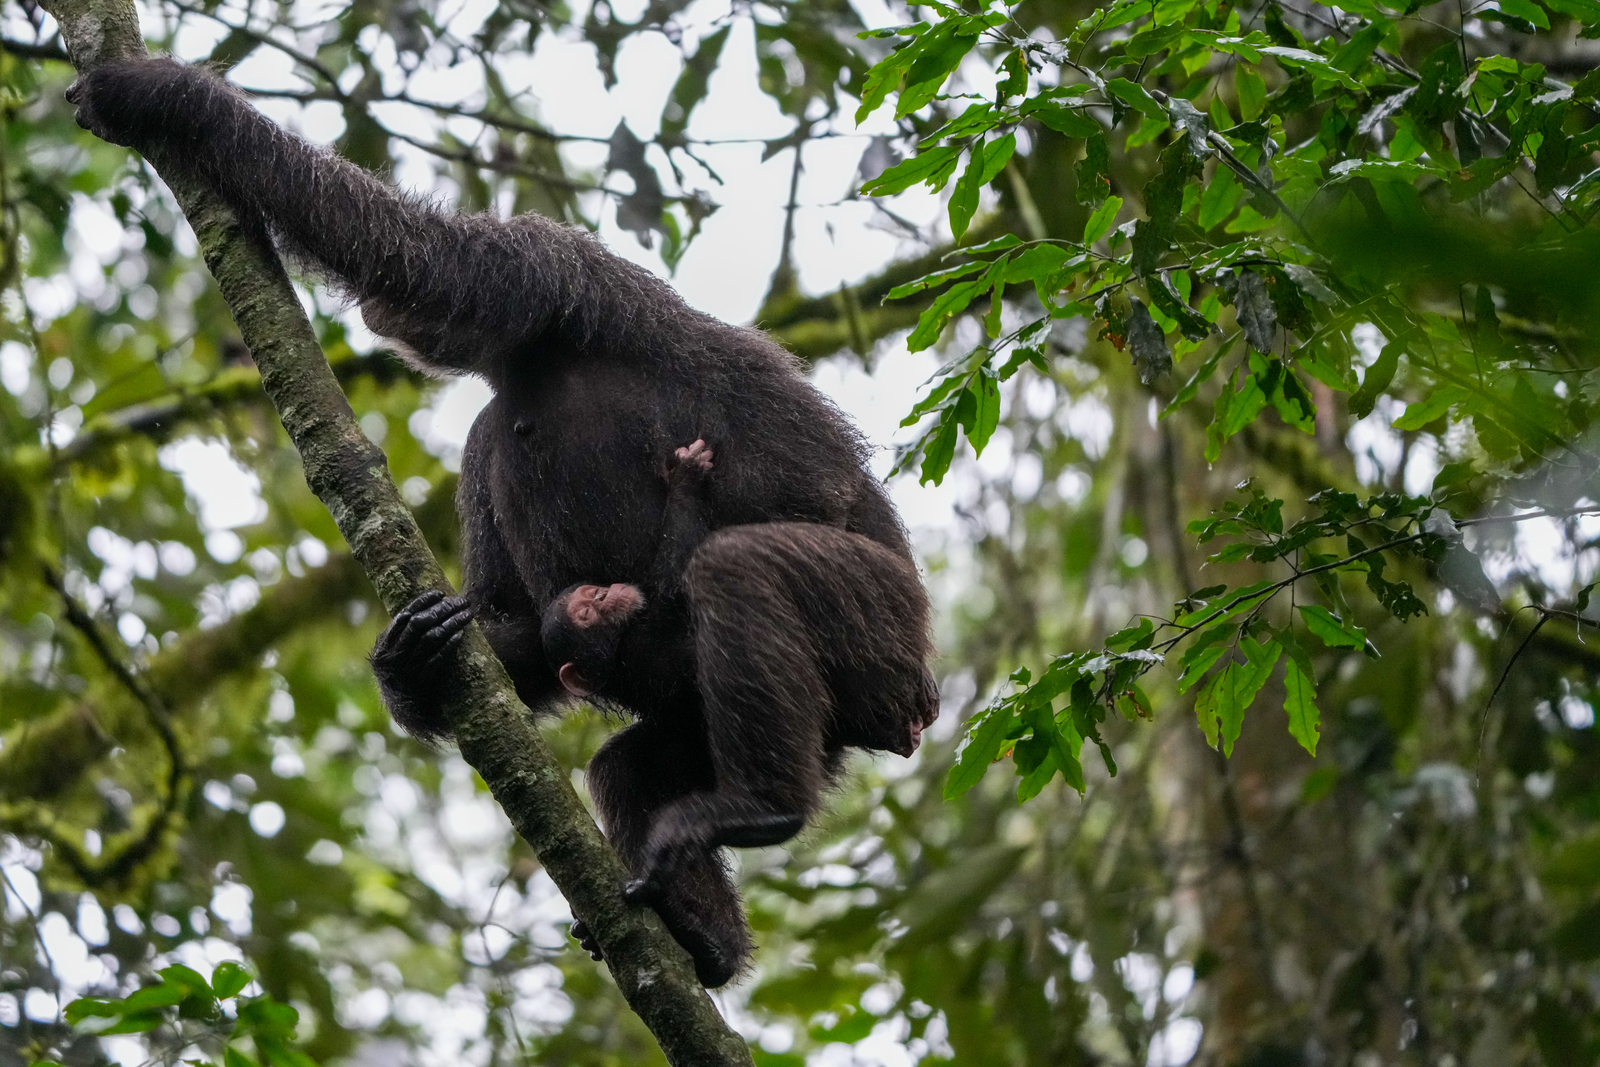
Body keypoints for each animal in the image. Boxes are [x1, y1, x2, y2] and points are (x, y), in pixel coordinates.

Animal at [68, 58, 939, 986]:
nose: (373, 317)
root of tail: (911, 711)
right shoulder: (485, 437)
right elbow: (507, 618)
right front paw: (411, 660)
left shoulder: (543, 263)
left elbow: (408, 247)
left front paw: (162, 96)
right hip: (756, 719)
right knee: (631, 764)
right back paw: (704, 938)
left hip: (879, 625)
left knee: (741, 570)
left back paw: (757, 808)